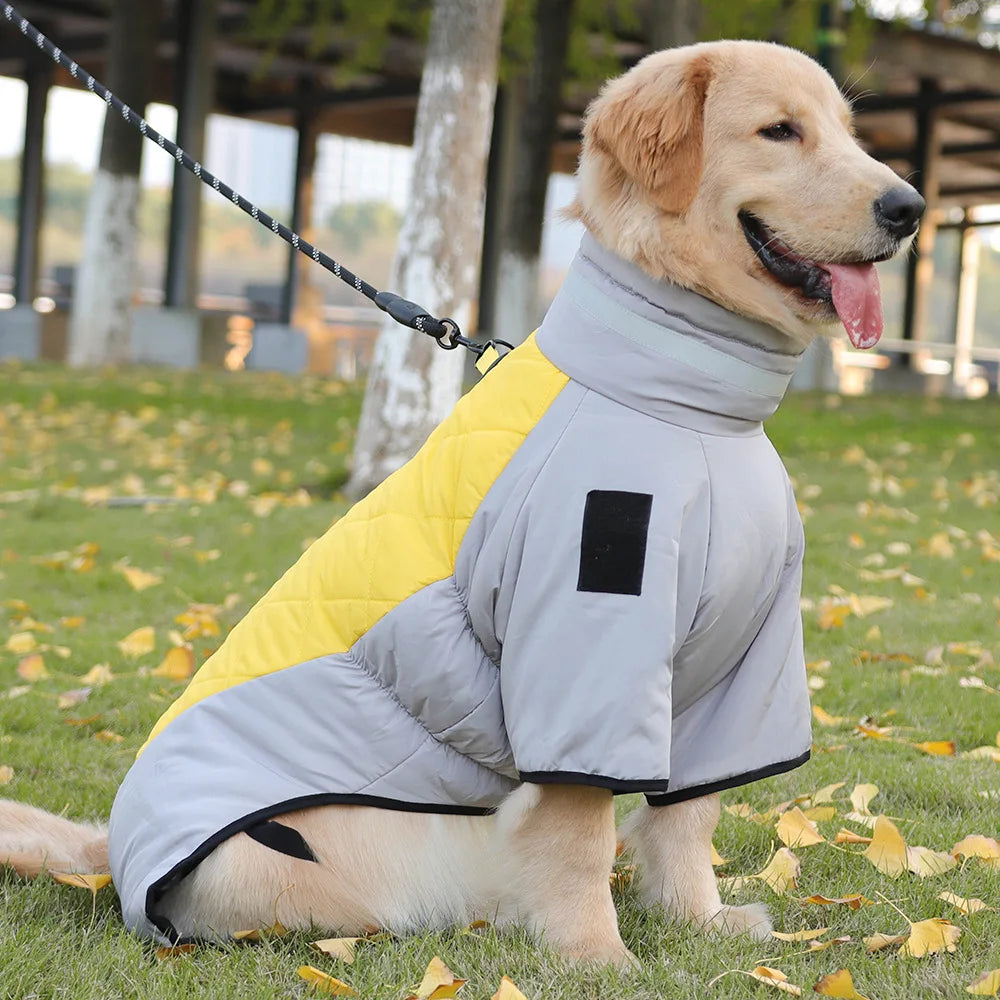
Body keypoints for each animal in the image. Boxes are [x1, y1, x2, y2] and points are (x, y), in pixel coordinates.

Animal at [0, 41, 920, 968]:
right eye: (780, 131)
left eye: (847, 130)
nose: (909, 208)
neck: (690, 408)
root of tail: (112, 853)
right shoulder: (582, 650)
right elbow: (583, 830)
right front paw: (597, 954)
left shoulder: (740, 665)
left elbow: (689, 815)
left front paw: (696, 918)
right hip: (314, 865)